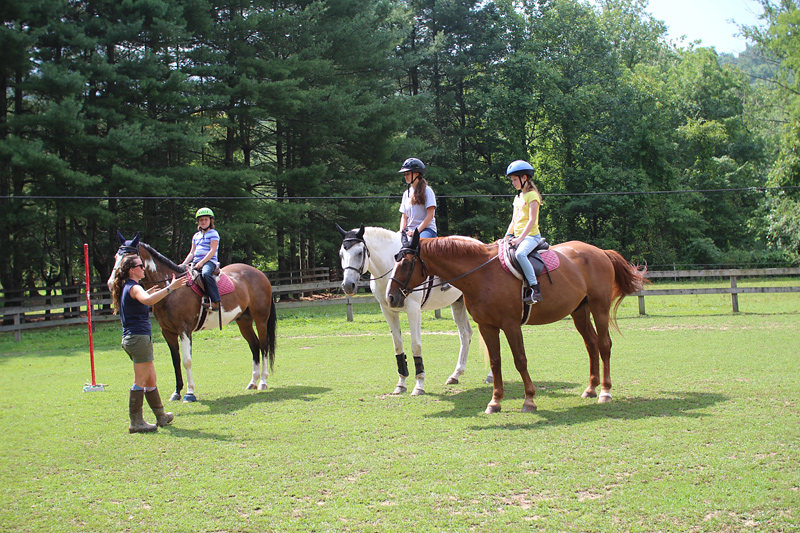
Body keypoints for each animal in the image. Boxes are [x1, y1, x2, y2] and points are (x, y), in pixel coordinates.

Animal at [108, 231, 278, 402]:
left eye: (130, 258)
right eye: (116, 256)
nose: (111, 283)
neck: (172, 290)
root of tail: (260, 274)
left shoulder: (184, 330)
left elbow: (187, 361)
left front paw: (189, 393)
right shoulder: (167, 332)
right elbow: (176, 360)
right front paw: (177, 392)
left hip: (260, 319)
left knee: (263, 345)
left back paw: (263, 381)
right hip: (244, 320)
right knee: (254, 345)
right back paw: (253, 382)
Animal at [336, 222, 490, 392]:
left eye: (359, 253)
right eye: (341, 254)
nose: (348, 286)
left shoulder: (413, 310)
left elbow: (416, 345)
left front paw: (419, 384)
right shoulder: (388, 310)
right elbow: (398, 346)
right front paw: (401, 383)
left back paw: (489, 376)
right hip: (458, 303)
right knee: (465, 334)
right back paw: (455, 374)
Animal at [384, 231, 648, 414]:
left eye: (405, 262)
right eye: (395, 259)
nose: (391, 297)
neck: (481, 274)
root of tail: (600, 252)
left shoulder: (511, 325)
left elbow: (520, 360)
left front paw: (529, 399)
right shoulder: (487, 326)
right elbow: (495, 362)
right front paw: (495, 402)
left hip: (599, 308)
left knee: (604, 345)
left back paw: (605, 391)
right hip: (579, 312)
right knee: (591, 345)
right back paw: (591, 388)